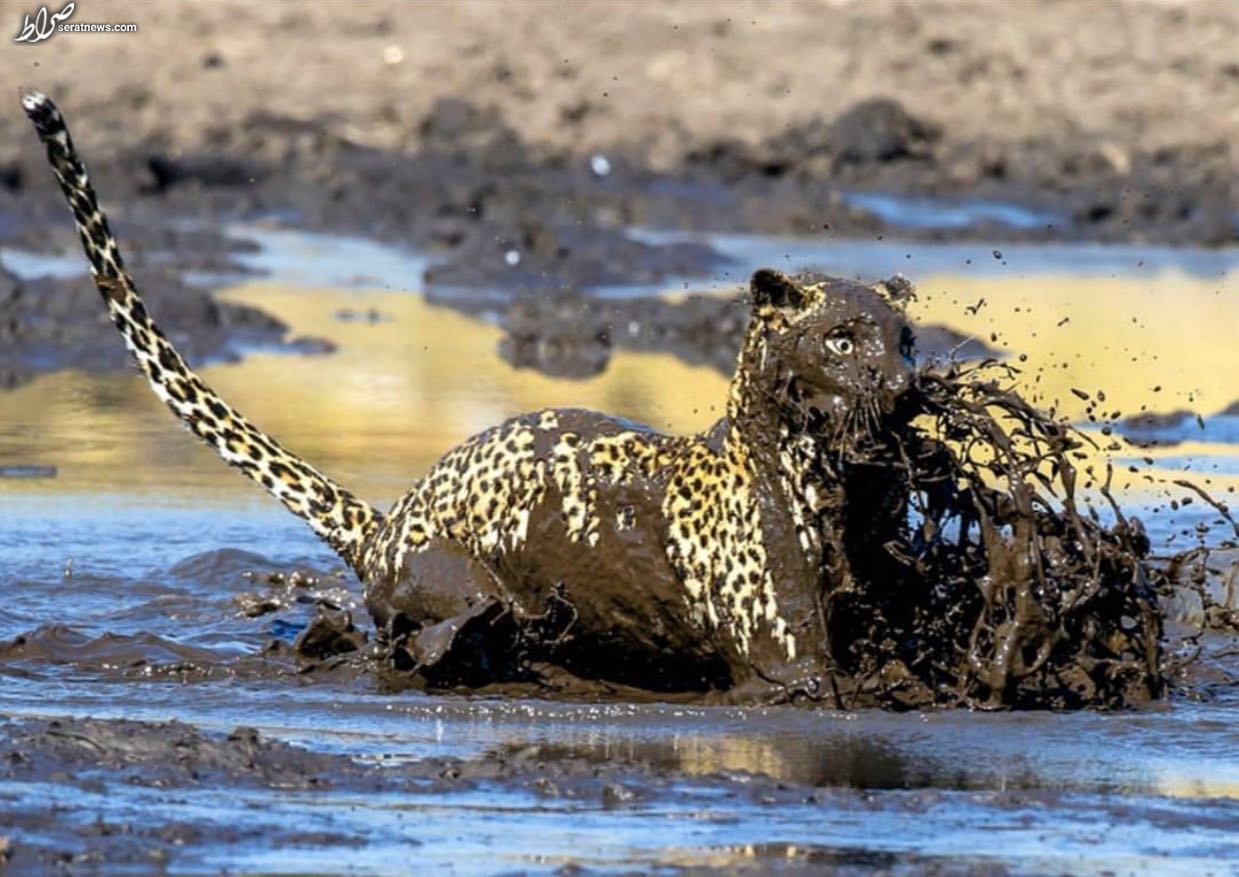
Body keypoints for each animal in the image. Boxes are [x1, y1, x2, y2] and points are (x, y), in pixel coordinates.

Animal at [19, 91, 921, 703]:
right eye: (842, 340)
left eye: (903, 338)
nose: (902, 383)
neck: (815, 478)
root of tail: (387, 520)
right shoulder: (787, 668)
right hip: (464, 589)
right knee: (421, 640)